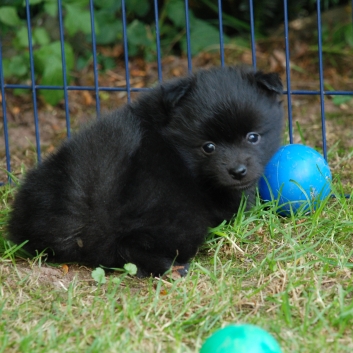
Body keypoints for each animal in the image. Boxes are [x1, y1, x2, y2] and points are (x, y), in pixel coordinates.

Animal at [7, 65, 284, 276]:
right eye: (208, 147)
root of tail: (92, 215)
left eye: (253, 137)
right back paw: (173, 268)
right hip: (180, 221)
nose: (237, 170)